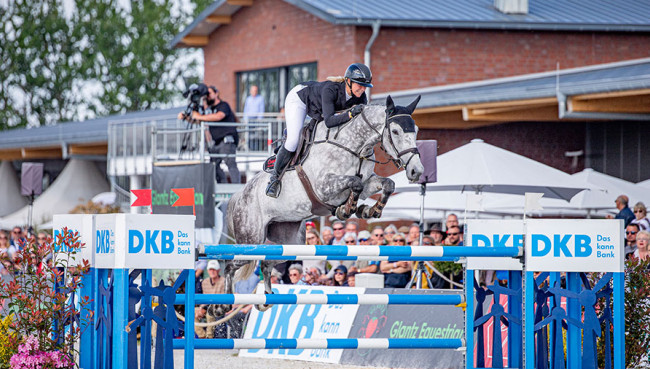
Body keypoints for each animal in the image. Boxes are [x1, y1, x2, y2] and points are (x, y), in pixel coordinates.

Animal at [225, 95, 422, 308]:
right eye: (395, 131)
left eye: (416, 131)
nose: (417, 171)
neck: (355, 147)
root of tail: (240, 194)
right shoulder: (324, 186)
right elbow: (355, 183)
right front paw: (348, 209)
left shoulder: (368, 182)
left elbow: (387, 184)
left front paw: (370, 210)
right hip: (251, 239)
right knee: (229, 265)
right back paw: (220, 306)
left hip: (292, 243)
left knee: (266, 263)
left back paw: (266, 299)